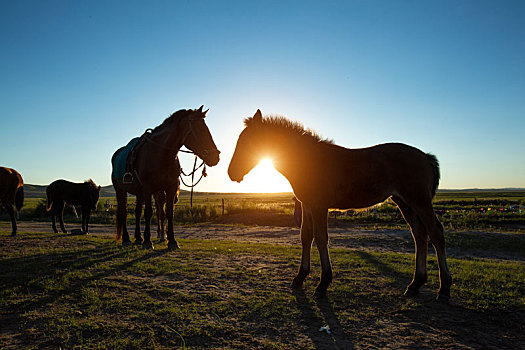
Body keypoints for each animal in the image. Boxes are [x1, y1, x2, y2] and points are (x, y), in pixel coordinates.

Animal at [110, 106, 219, 249]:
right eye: (200, 129)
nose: (215, 157)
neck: (161, 154)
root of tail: (116, 155)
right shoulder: (148, 188)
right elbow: (149, 213)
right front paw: (148, 241)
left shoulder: (170, 188)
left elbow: (168, 213)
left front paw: (172, 241)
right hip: (121, 191)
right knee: (124, 212)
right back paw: (126, 239)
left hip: (139, 193)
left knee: (137, 212)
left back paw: (138, 238)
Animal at [227, 110, 452, 302]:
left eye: (248, 141)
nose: (231, 172)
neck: (309, 161)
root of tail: (426, 156)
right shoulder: (307, 205)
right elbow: (305, 236)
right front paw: (300, 278)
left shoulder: (319, 206)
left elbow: (321, 238)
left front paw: (322, 285)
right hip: (404, 202)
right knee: (419, 235)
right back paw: (415, 284)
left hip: (419, 201)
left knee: (435, 233)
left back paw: (444, 289)